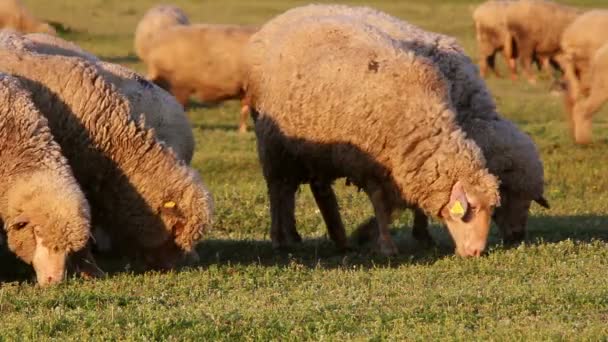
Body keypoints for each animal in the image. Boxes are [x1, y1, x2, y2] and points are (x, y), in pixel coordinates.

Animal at [253, 4, 552, 246]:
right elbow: (386, 201)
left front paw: (418, 234)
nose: (517, 237)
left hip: (316, 147)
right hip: (278, 146)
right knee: (280, 190)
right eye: (509, 190)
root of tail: (283, 18)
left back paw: (334, 237)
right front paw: (378, 236)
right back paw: (284, 237)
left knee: (315, 187)